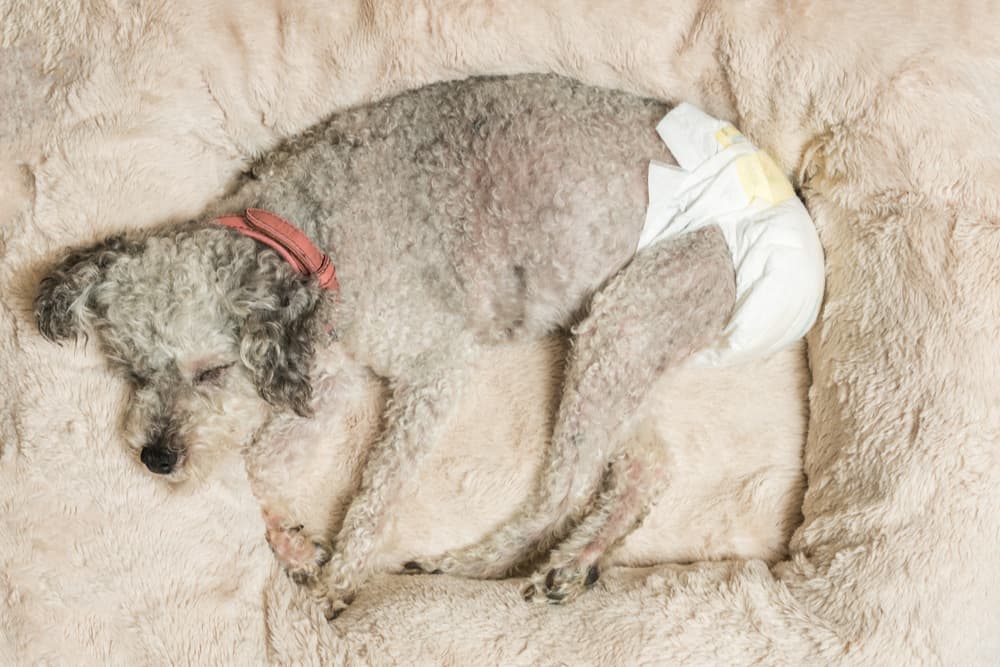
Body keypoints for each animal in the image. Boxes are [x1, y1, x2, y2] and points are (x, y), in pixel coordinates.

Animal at [33, 75, 736, 620]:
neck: (310, 234)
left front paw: (337, 583)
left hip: (632, 316)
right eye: (131, 370)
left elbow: (376, 493)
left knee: (565, 486)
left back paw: (470, 563)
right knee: (647, 466)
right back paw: (579, 560)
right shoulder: (327, 377)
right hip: (614, 341)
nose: (156, 457)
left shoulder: (432, 370)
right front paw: (294, 546)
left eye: (212, 371)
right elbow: (258, 464)